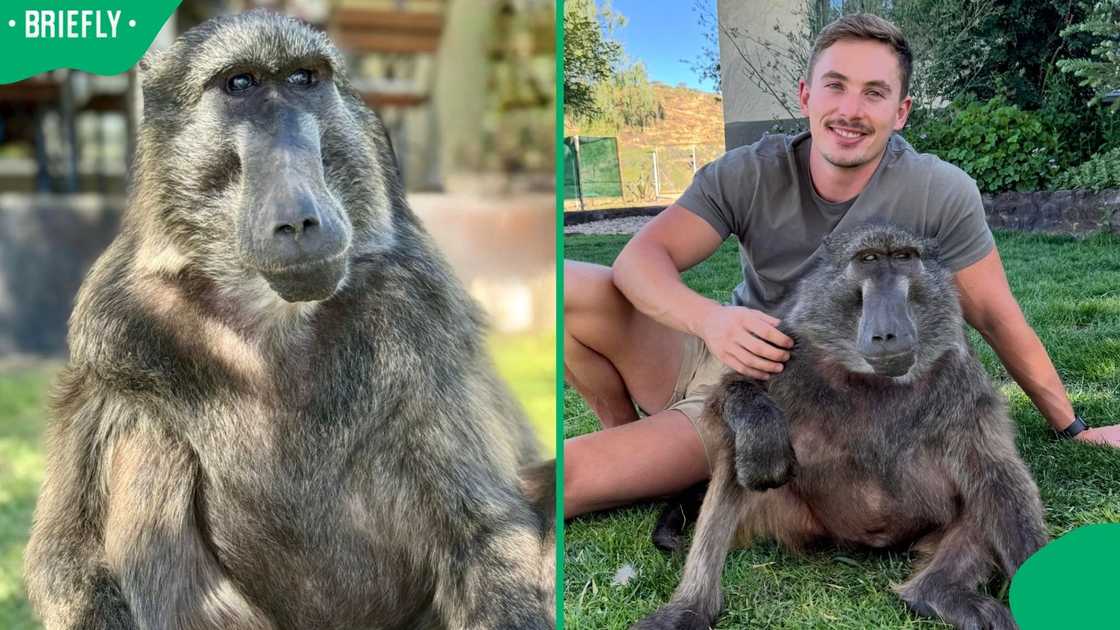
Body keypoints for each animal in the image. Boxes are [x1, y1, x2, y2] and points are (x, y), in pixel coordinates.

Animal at [23, 11, 554, 630]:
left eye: (304, 79)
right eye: (240, 84)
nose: (300, 220)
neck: (272, 315)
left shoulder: (420, 309)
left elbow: (488, 534)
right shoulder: (119, 329)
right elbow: (68, 559)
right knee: (147, 432)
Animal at [632, 224, 1047, 630]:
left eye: (903, 257)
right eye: (867, 259)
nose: (887, 334)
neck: (874, 380)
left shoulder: (958, 373)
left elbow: (996, 472)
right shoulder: (793, 350)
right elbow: (727, 403)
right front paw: (759, 430)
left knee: (984, 489)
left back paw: (935, 592)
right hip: (789, 517)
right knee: (738, 454)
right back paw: (689, 609)